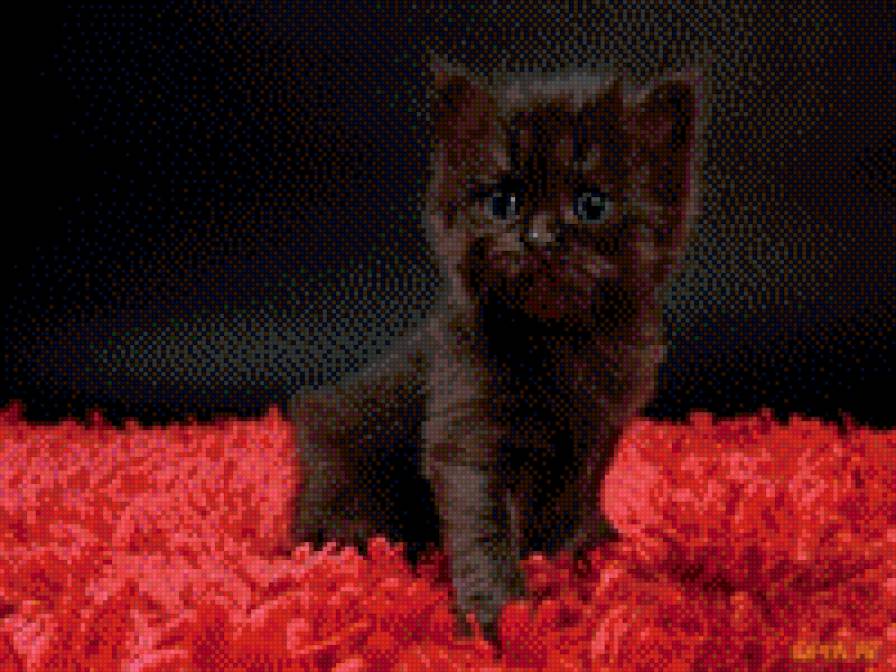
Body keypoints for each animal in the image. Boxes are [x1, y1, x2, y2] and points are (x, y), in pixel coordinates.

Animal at [288, 59, 700, 643]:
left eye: (591, 205)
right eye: (503, 202)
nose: (540, 236)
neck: (561, 341)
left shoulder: (604, 429)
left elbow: (584, 493)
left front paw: (587, 548)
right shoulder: (467, 432)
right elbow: (484, 529)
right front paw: (498, 618)